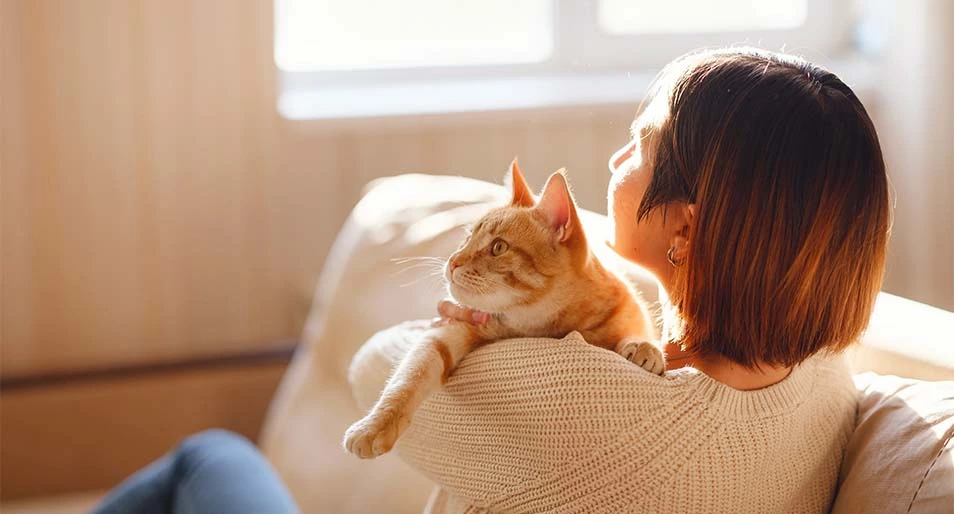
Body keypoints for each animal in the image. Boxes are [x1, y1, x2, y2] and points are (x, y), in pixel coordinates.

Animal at [344, 160, 660, 456]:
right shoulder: (450, 332)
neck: (540, 323)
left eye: (498, 247)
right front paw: (374, 426)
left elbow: (636, 332)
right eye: (467, 237)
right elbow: (408, 378)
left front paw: (644, 348)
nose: (453, 261)